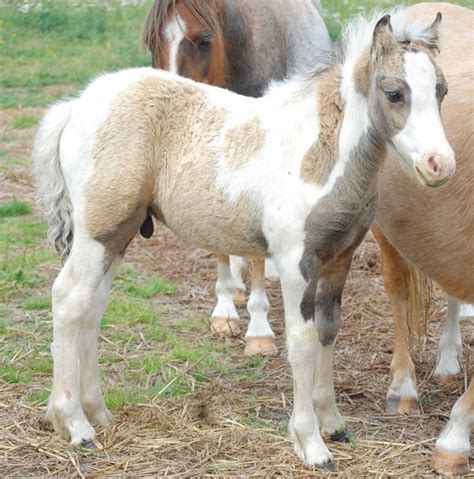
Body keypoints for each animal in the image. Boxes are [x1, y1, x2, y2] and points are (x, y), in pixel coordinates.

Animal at [35, 10, 454, 468]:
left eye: (442, 90)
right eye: (395, 93)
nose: (440, 165)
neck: (320, 149)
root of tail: (76, 106)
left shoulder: (338, 257)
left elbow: (328, 331)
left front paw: (333, 423)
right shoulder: (295, 262)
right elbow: (302, 343)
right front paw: (310, 443)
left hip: (118, 235)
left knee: (90, 308)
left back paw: (97, 413)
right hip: (98, 231)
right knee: (68, 299)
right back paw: (75, 425)